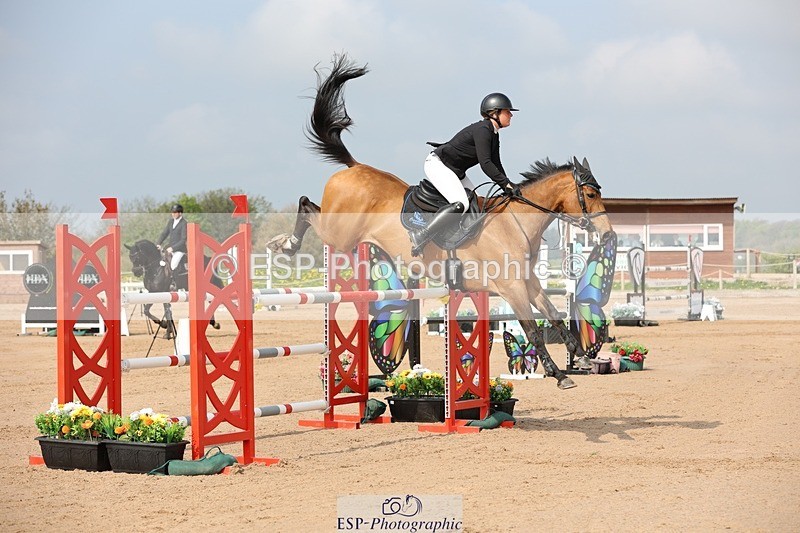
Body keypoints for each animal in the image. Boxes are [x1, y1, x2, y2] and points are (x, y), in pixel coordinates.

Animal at [268, 55, 614, 389]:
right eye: (591, 193)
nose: (609, 233)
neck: (515, 224)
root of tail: (354, 167)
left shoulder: (528, 282)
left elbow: (553, 314)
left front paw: (582, 357)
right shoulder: (511, 287)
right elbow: (531, 329)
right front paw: (560, 375)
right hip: (338, 235)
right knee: (306, 206)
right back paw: (285, 244)